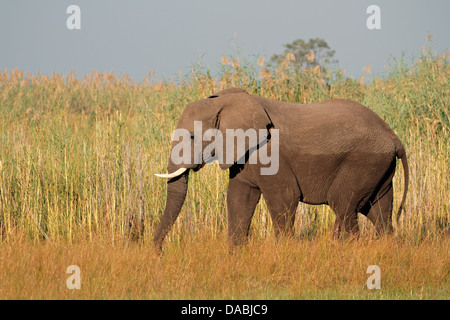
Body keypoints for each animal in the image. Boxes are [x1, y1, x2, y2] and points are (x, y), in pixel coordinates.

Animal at [154, 88, 408, 252]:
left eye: (192, 137)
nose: (159, 252)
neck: (225, 102)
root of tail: (393, 136)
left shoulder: (271, 155)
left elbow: (284, 198)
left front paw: (284, 253)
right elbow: (238, 197)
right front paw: (235, 255)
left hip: (363, 161)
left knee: (343, 203)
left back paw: (349, 249)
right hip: (379, 167)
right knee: (378, 209)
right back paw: (387, 248)